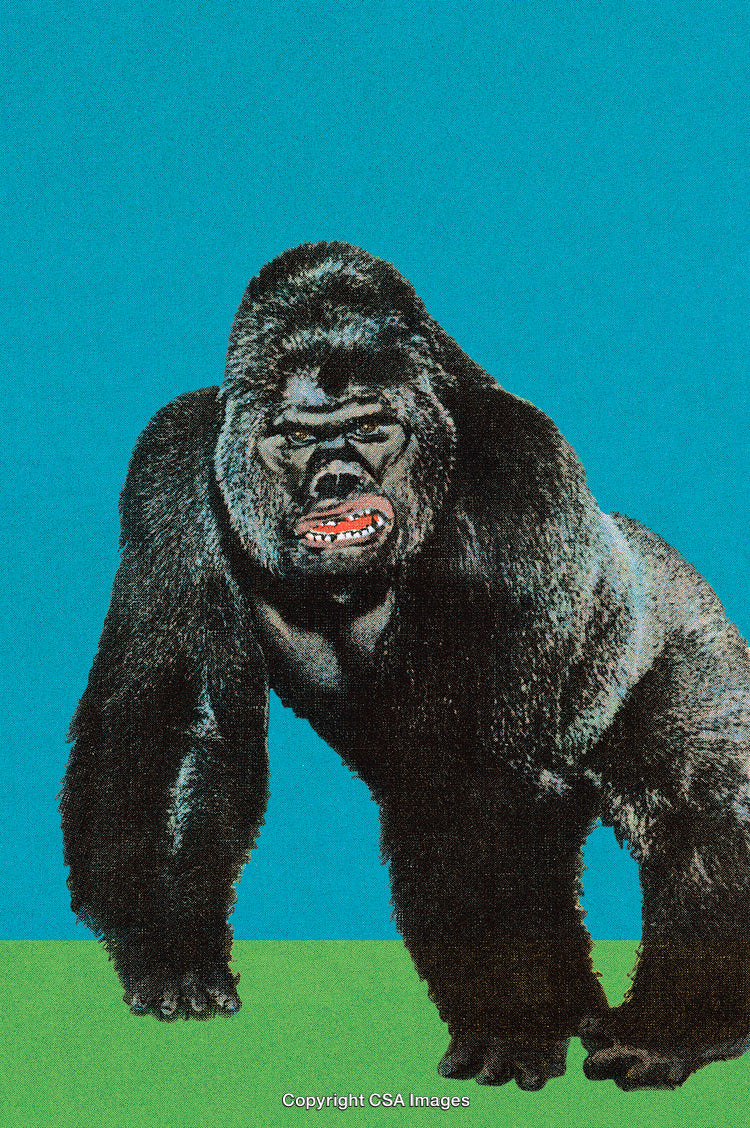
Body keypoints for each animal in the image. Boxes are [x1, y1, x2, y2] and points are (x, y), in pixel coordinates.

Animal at [62, 241, 750, 1091]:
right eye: (296, 438)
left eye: (370, 429)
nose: (337, 480)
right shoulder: (174, 458)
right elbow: (189, 722)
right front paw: (171, 947)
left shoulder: (517, 469)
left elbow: (477, 780)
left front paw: (512, 1017)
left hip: (687, 631)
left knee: (705, 808)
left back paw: (677, 1027)